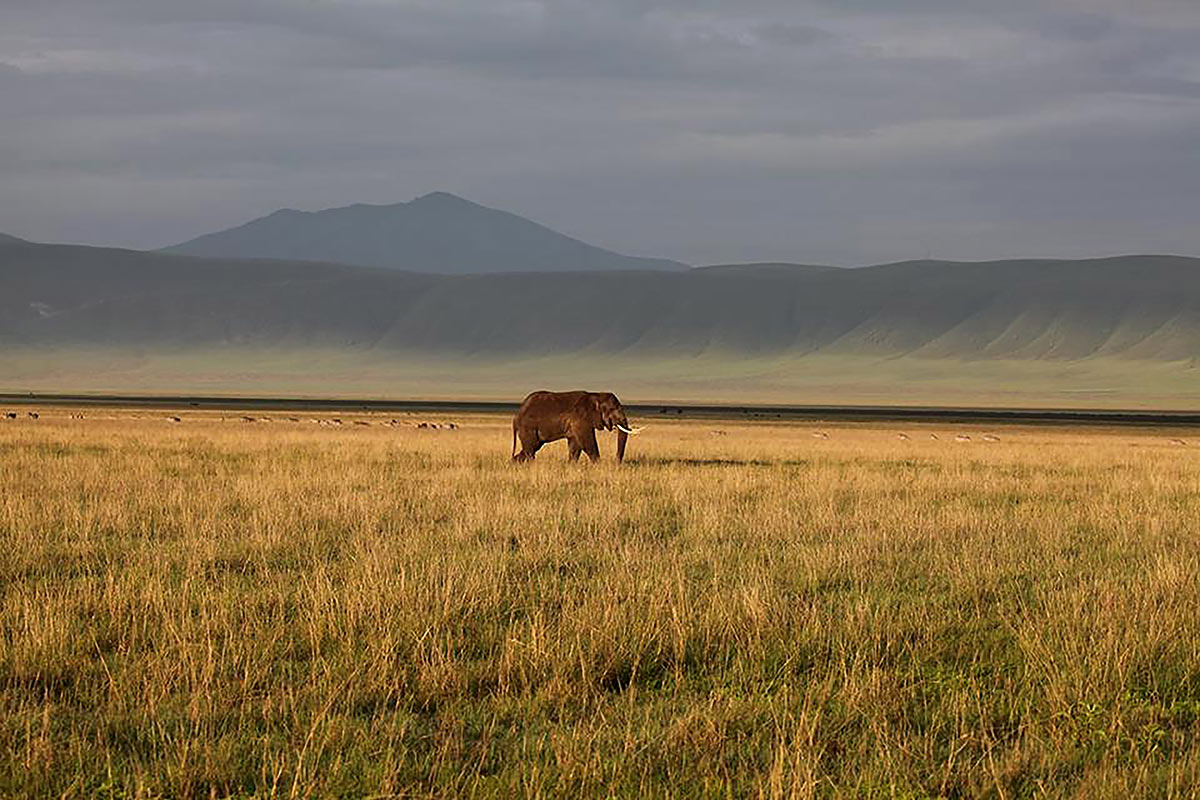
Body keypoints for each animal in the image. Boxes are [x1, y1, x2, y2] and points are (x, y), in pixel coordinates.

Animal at [516, 388, 648, 462]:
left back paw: (514, 463)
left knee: (531, 448)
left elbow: (575, 444)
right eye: (613, 409)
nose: (616, 462)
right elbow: (586, 441)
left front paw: (571, 465)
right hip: (528, 427)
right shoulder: (580, 418)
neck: (595, 395)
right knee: (531, 448)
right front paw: (598, 464)